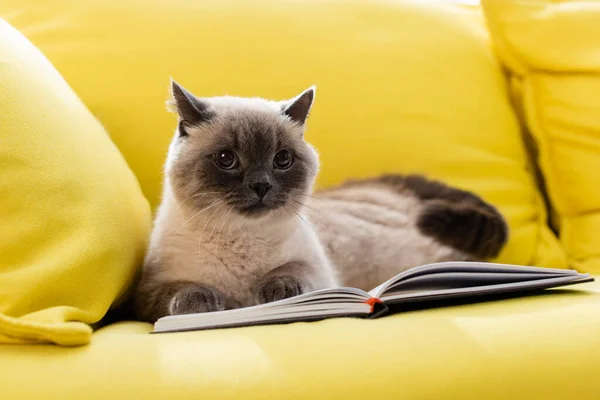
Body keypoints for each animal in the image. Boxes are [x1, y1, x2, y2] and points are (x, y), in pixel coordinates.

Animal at [134, 80, 508, 322]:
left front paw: (276, 292)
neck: (239, 241)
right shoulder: (147, 293)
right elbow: (180, 291)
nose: (261, 185)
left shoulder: (319, 273)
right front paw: (206, 301)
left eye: (282, 160)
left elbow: (292, 273)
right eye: (226, 159)